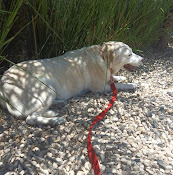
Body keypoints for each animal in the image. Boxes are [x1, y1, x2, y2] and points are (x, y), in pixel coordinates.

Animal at [0, 41, 143, 125]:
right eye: (129, 54)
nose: (142, 59)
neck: (103, 57)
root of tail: (3, 85)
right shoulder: (100, 87)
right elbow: (119, 86)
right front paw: (131, 84)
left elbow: (114, 78)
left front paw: (121, 77)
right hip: (45, 88)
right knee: (30, 117)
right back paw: (55, 119)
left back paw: (56, 107)